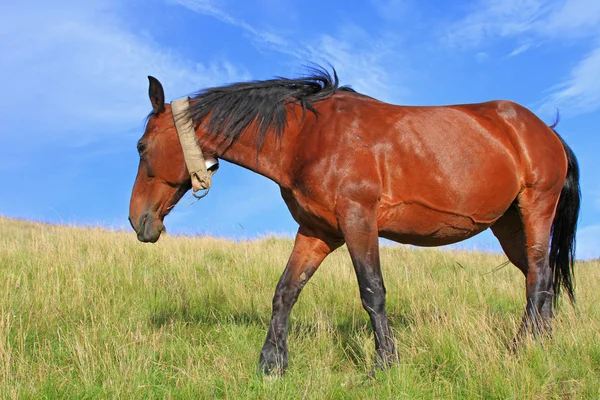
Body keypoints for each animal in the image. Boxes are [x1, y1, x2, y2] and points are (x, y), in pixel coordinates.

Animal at [127, 66, 580, 376]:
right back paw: (545, 345)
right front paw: (271, 364)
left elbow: (372, 291)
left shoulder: (357, 220)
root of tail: (546, 131)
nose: (138, 221)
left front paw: (384, 365)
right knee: (539, 279)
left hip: (536, 208)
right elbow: (285, 291)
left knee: (539, 277)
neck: (308, 137)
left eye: (142, 146)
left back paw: (523, 348)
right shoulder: (318, 230)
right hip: (508, 224)